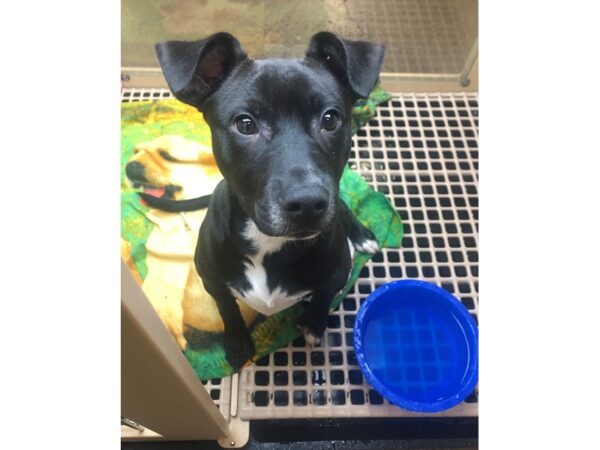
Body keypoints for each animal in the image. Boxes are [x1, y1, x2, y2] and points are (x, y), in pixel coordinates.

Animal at [155, 31, 384, 370]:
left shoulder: (335, 275)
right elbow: (228, 311)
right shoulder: (212, 282)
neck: (267, 242)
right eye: (246, 124)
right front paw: (237, 344)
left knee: (341, 203)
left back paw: (361, 234)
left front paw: (314, 325)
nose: (307, 204)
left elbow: (322, 299)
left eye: (330, 119)